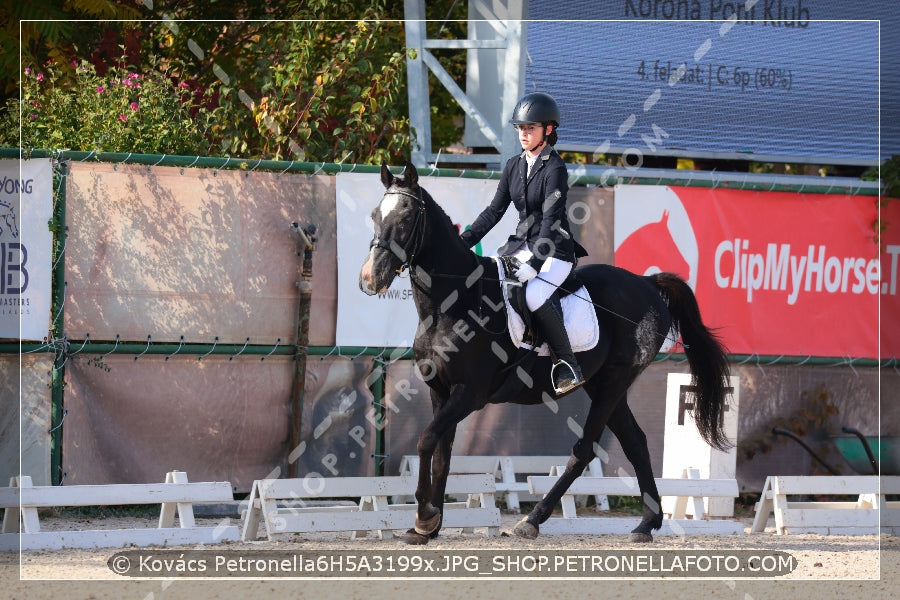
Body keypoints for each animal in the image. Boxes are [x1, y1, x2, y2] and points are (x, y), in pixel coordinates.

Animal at [358, 162, 732, 548]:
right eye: (374, 215)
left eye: (406, 217)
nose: (371, 278)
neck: (454, 302)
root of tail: (647, 283)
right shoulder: (440, 391)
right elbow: (441, 453)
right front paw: (430, 524)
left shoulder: (470, 393)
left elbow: (426, 440)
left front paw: (424, 517)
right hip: (604, 385)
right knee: (636, 443)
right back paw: (646, 524)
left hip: (614, 381)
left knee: (584, 451)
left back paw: (533, 520)